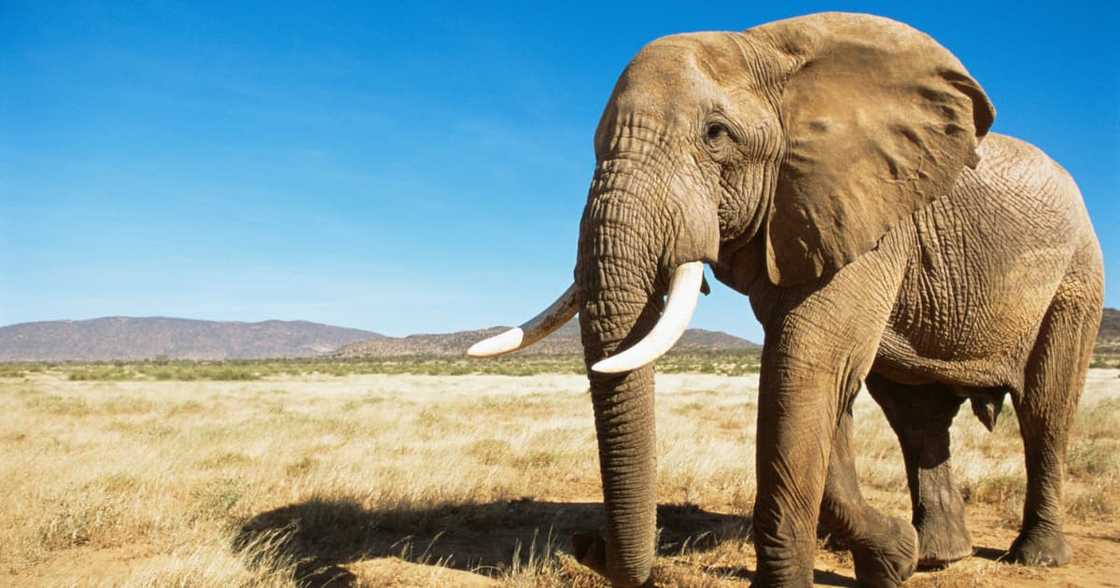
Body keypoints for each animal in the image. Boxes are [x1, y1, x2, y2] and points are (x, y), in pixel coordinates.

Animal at [467, 12, 1104, 587]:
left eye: (715, 135)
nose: (585, 545)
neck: (765, 48)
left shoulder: (866, 212)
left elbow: (806, 367)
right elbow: (819, 382)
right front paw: (891, 559)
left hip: (1077, 277)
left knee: (1045, 408)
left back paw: (1035, 558)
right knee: (916, 418)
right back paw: (936, 556)